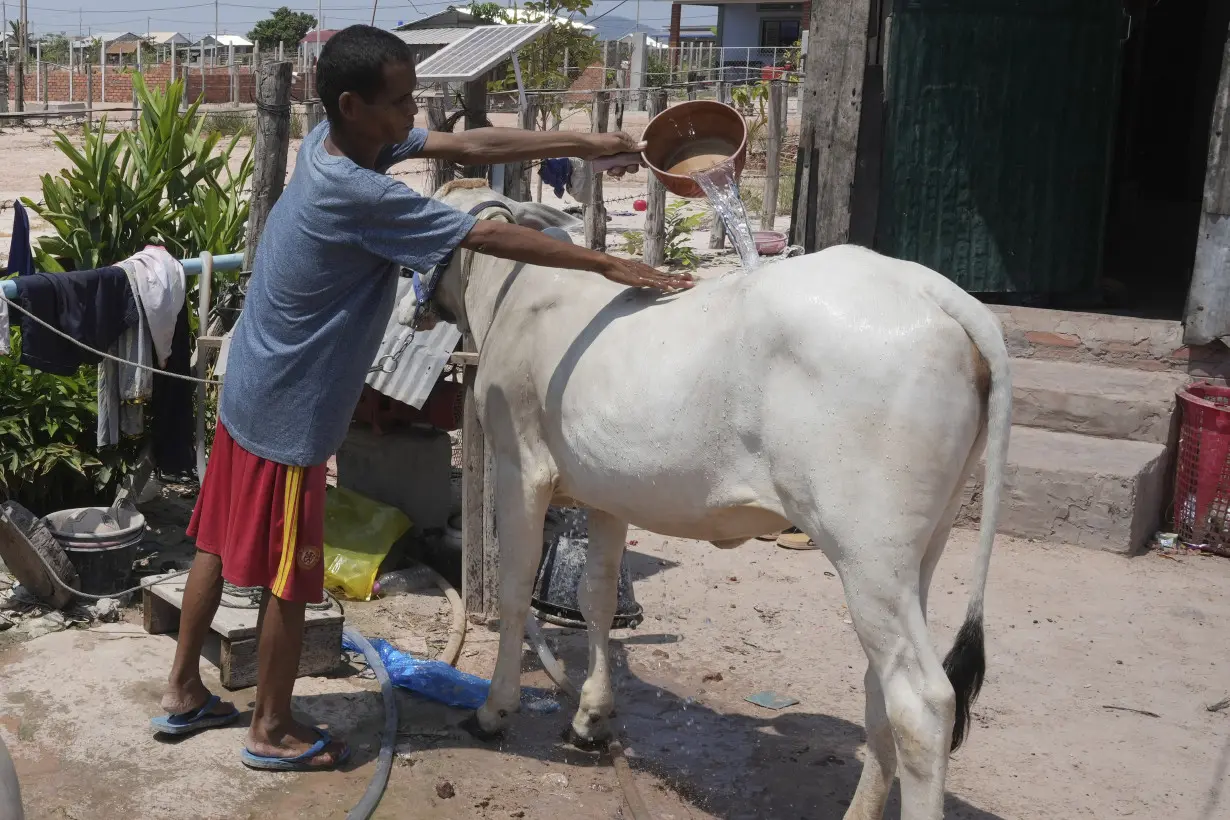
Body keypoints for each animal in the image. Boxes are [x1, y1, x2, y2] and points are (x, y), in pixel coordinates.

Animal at [430, 180, 1008, 820]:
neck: (512, 291)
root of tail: (929, 288)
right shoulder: (606, 494)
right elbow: (596, 599)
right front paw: (590, 718)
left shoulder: (520, 470)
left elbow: (514, 593)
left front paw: (493, 709)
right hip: (918, 551)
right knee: (879, 685)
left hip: (868, 552)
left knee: (922, 703)